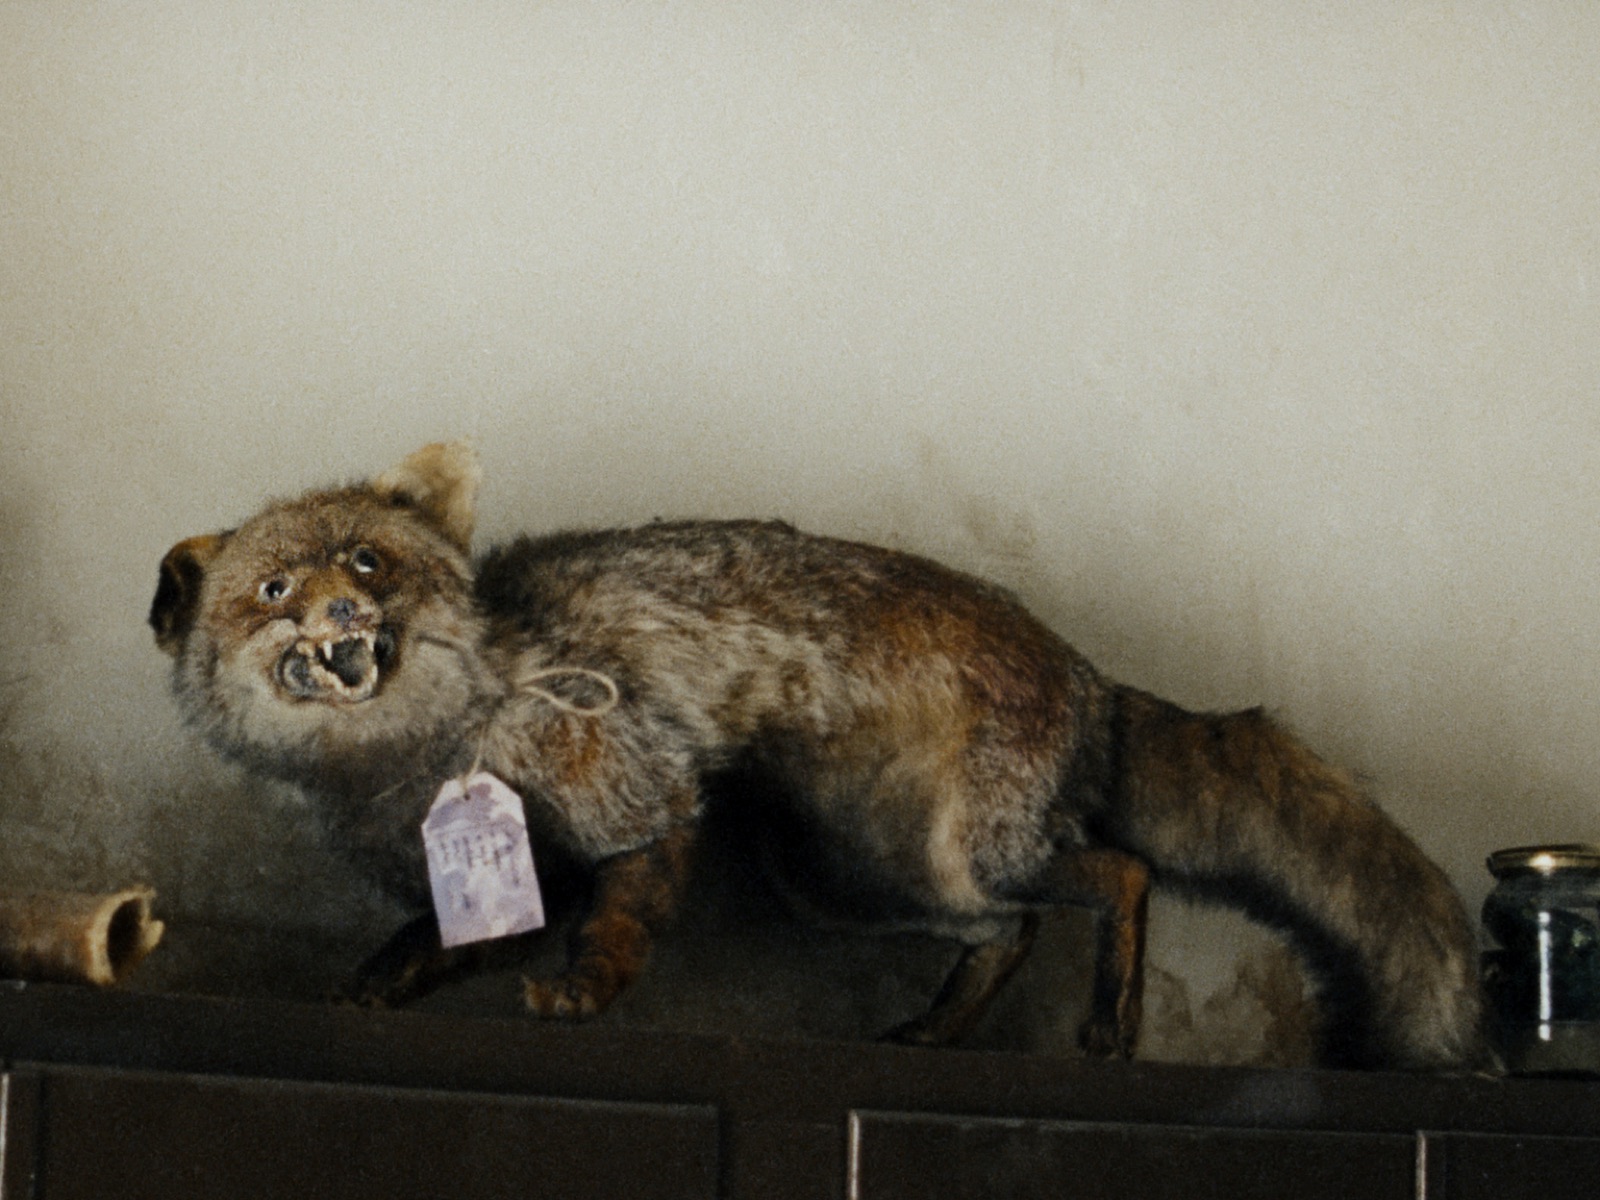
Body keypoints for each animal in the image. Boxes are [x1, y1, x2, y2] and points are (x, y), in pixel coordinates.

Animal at [149, 442, 1489, 1070]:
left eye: (366, 561)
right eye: (272, 589)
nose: (337, 615)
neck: (428, 763)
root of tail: (1086, 675)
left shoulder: (641, 793)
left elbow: (619, 923)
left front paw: (585, 998)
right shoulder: (516, 882)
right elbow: (431, 947)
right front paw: (368, 991)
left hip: (964, 854)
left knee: (1118, 874)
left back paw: (1108, 1027)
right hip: (856, 879)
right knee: (1010, 931)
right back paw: (939, 1036)